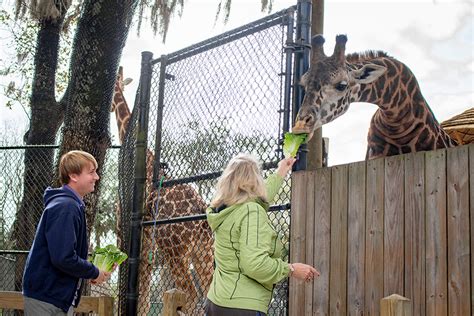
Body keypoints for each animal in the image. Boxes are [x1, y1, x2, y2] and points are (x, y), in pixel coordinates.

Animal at [110, 66, 214, 314]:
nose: (109, 106)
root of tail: (202, 210)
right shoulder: (146, 242)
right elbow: (144, 297)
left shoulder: (121, 230)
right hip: (204, 250)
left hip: (175, 250)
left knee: (191, 294)